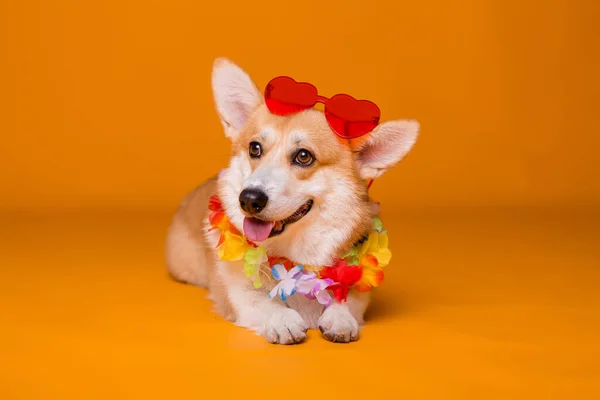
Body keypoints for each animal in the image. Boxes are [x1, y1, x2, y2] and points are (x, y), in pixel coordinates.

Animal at [164, 57, 418, 344]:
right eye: (254, 148)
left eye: (304, 156)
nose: (248, 199)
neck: (295, 256)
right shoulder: (238, 294)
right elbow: (262, 302)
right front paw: (282, 319)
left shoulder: (357, 287)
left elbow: (347, 301)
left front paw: (340, 318)